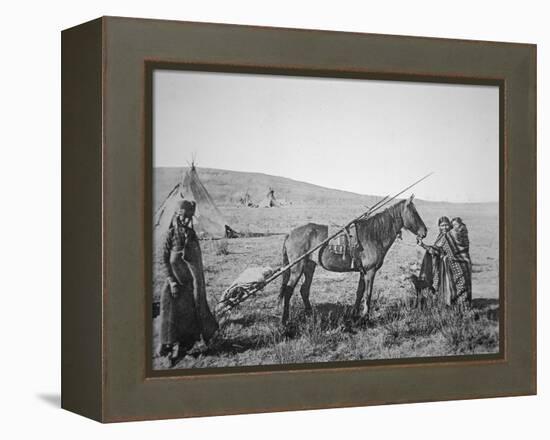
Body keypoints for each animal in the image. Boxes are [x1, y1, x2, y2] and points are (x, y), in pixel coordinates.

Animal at [282, 194, 430, 324]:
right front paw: (365, 316)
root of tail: (290, 233)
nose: (425, 232)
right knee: (288, 290)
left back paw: (309, 314)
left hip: (309, 266)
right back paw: (285, 320)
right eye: (414, 212)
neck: (374, 235)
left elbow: (359, 292)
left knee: (304, 290)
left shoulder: (363, 272)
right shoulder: (370, 271)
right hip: (297, 268)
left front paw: (354, 314)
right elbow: (368, 294)